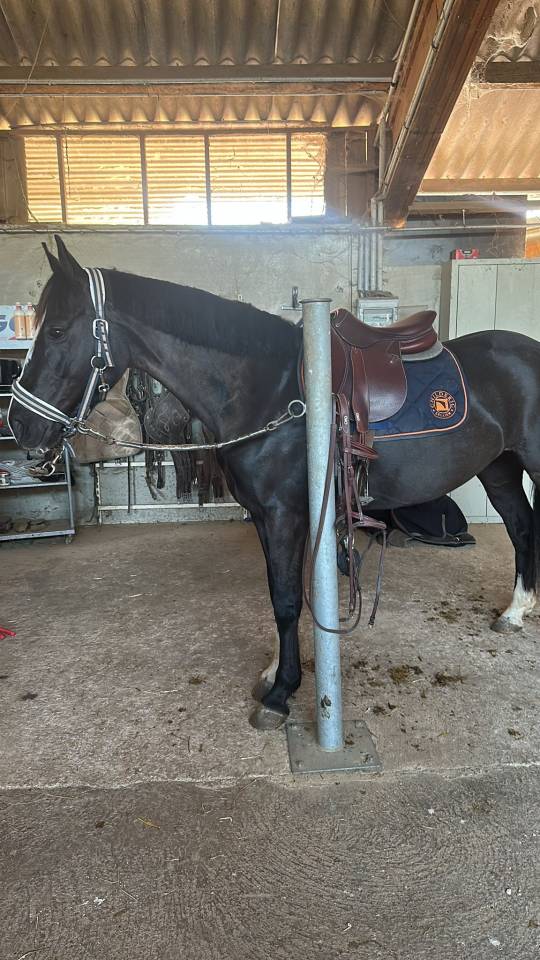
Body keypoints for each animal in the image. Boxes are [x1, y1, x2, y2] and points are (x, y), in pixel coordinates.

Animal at [9, 236, 540, 731]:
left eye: (57, 329)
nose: (19, 424)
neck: (267, 388)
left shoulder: (286, 516)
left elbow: (286, 601)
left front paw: (281, 693)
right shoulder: (268, 517)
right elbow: (277, 594)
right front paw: (273, 672)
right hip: (498, 468)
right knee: (521, 528)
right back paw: (516, 612)